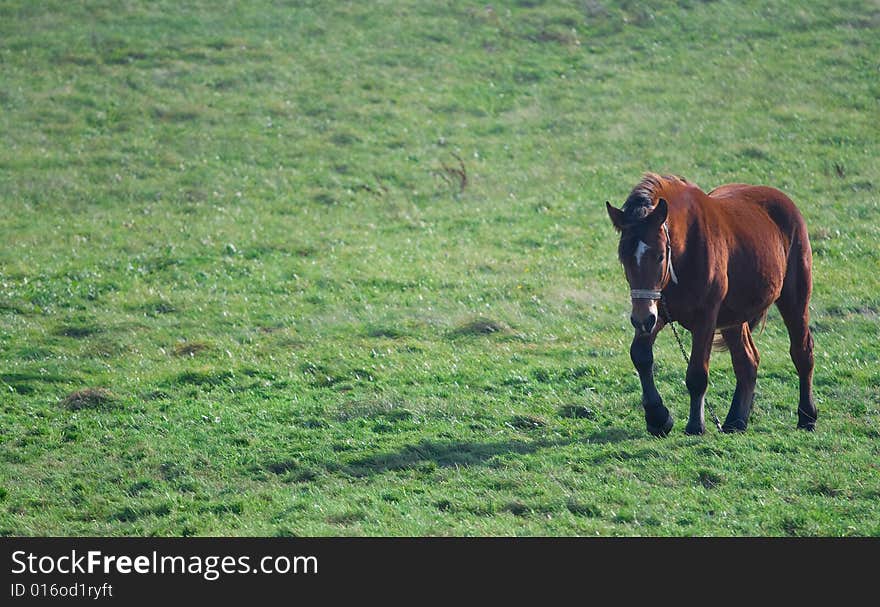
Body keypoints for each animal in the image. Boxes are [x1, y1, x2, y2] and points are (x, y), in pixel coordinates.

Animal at [604, 173, 820, 434]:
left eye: (660, 256)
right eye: (624, 258)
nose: (641, 319)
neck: (685, 250)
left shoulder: (705, 318)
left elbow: (697, 373)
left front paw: (695, 424)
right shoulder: (658, 311)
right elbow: (641, 355)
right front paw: (658, 417)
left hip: (794, 299)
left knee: (802, 351)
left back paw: (807, 416)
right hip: (733, 317)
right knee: (747, 361)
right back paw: (736, 421)